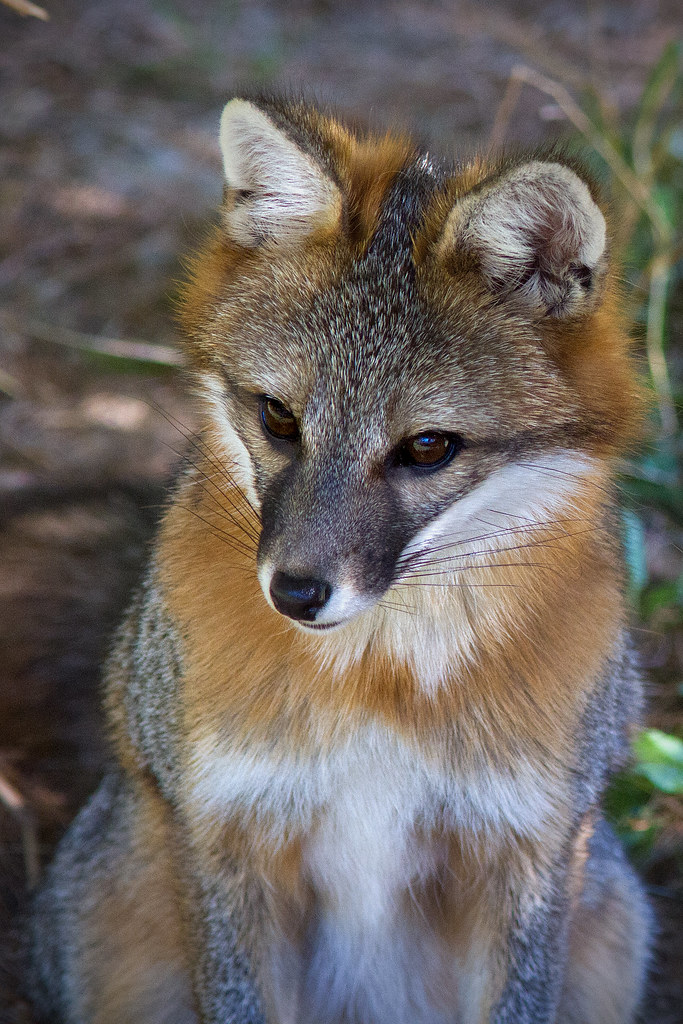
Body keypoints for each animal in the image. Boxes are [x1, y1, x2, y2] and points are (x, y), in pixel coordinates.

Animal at [31, 94, 652, 1024]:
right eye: (278, 416)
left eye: (427, 448)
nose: (294, 592)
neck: (372, 680)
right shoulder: (226, 834)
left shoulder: (530, 853)